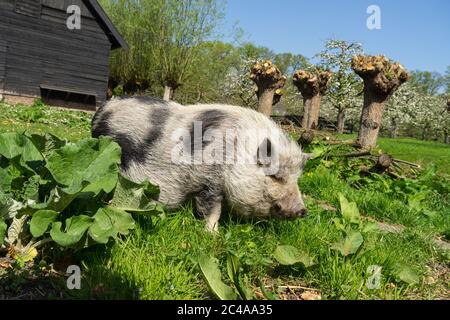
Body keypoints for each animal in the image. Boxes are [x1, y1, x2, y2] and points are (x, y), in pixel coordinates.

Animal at [91, 96, 310, 231]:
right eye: (275, 176)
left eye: (296, 179)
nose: (302, 210)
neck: (235, 152)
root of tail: (100, 112)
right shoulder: (208, 179)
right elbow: (212, 209)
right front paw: (212, 234)